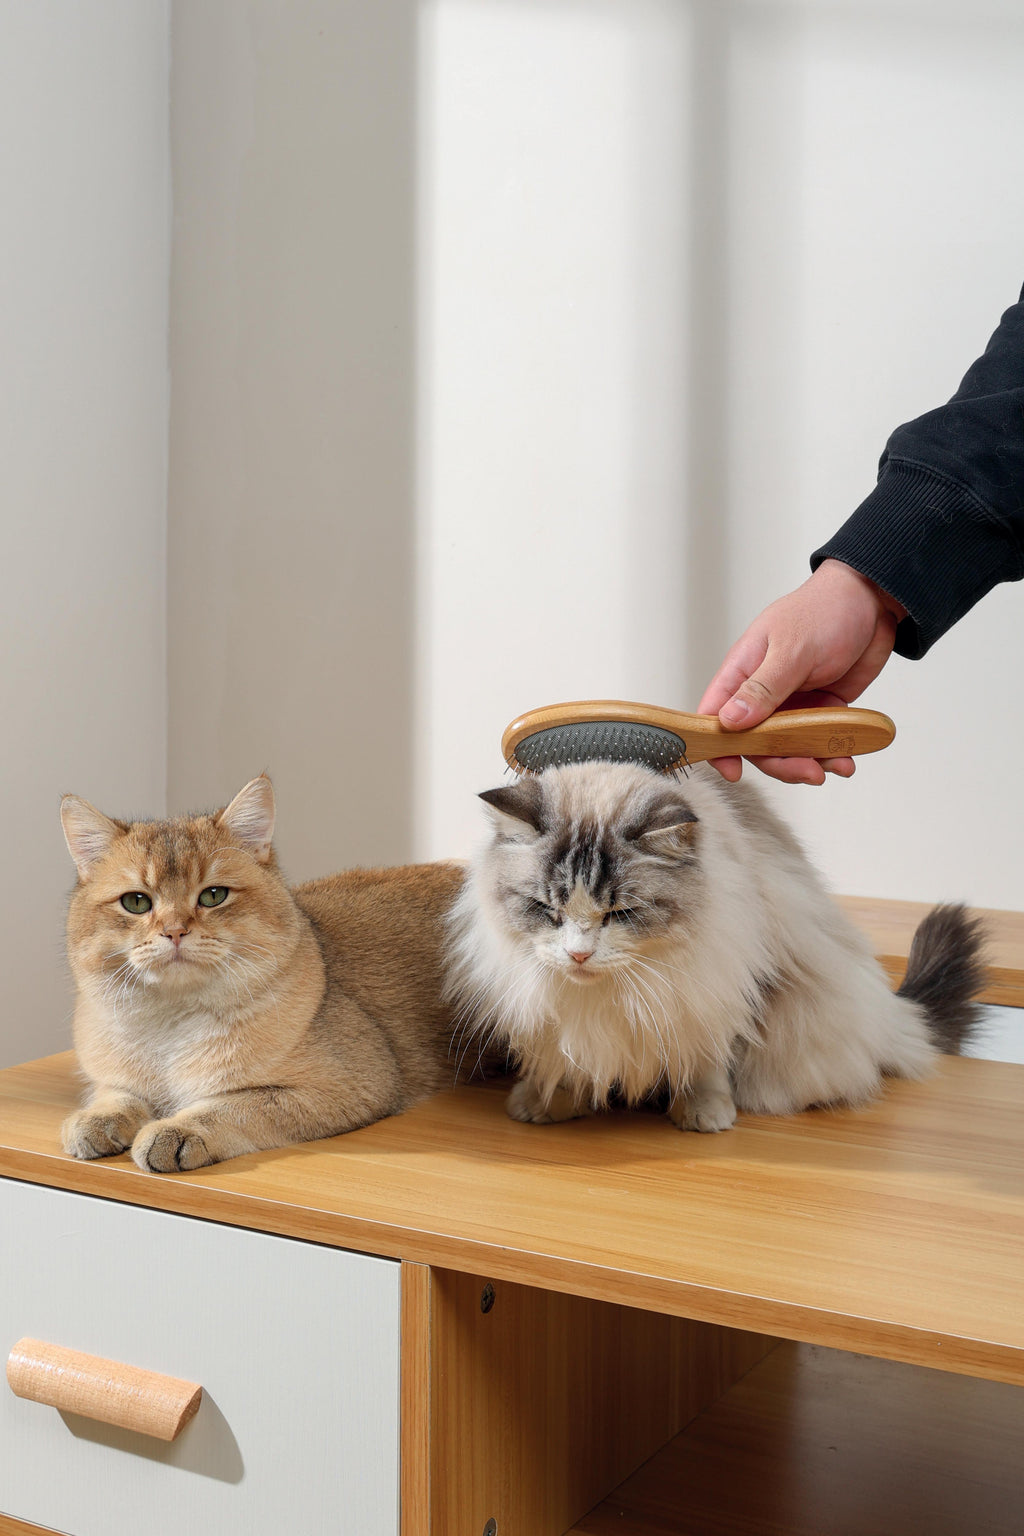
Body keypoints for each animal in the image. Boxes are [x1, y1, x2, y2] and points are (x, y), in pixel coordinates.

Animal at [448, 761, 982, 1136]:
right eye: (546, 909)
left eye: (619, 913)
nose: (579, 955)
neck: (606, 996)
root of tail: (891, 1016)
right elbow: (565, 1060)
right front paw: (547, 1099)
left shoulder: (715, 987)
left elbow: (706, 1058)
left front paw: (704, 1111)